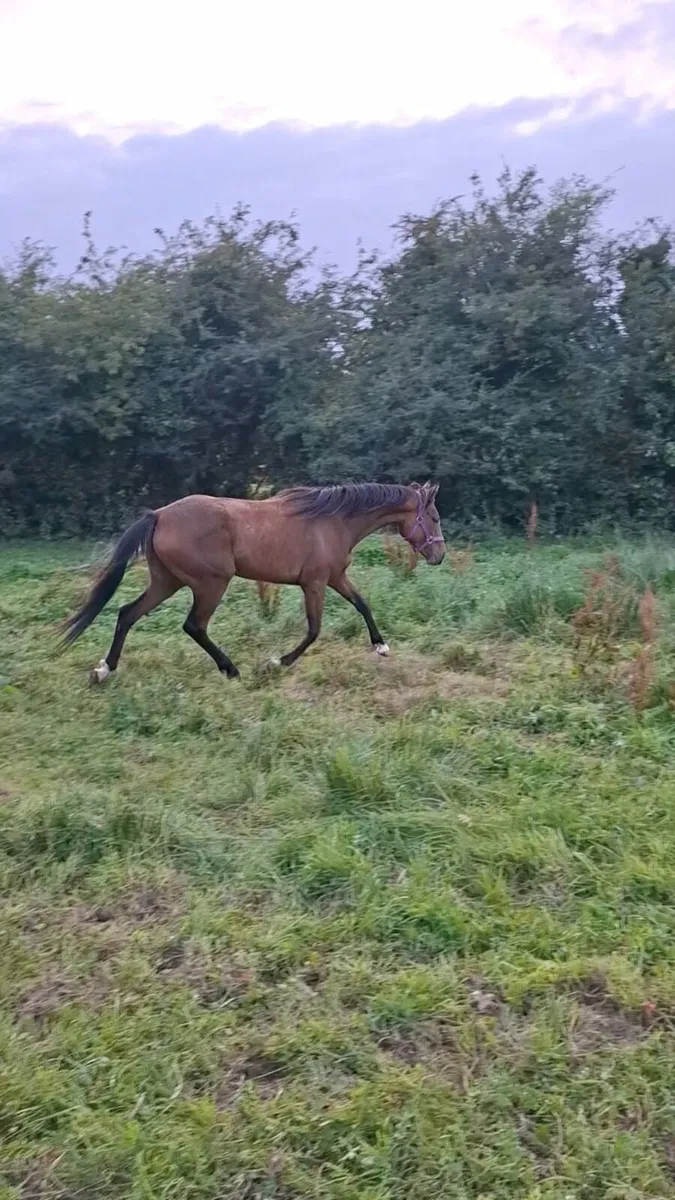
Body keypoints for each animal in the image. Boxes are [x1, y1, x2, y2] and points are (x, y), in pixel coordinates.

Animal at [62, 480, 445, 683]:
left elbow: (362, 604)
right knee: (194, 625)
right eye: (434, 517)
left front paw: (381, 646)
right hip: (211, 583)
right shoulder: (315, 582)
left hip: (166, 581)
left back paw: (104, 669)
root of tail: (159, 515)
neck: (333, 521)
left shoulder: (336, 577)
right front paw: (279, 662)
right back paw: (230, 669)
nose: (439, 556)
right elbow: (314, 629)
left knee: (127, 613)